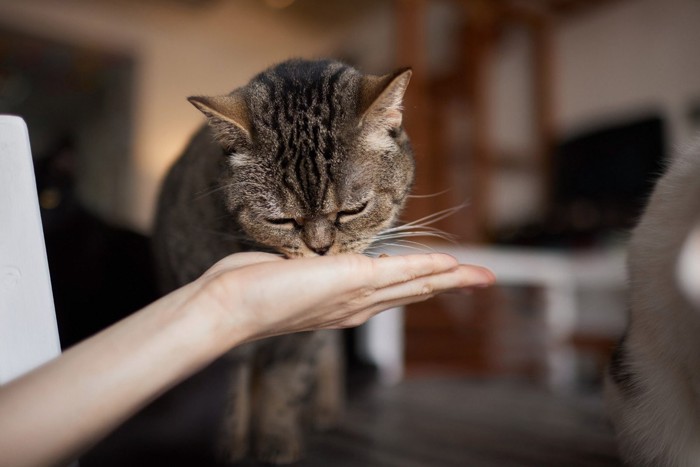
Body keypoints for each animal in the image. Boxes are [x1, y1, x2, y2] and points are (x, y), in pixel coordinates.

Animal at [153, 58, 412, 464]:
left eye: (352, 211)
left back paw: (323, 408)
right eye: (281, 221)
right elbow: (233, 391)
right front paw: (231, 443)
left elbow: (285, 384)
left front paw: (276, 438)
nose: (320, 249)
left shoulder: (302, 340)